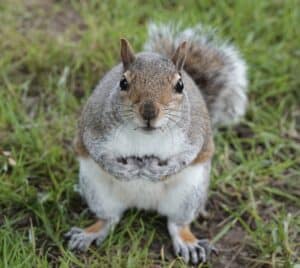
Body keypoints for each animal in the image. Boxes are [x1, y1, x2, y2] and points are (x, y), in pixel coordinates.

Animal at [65, 22, 246, 264]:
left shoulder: (194, 132)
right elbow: (95, 149)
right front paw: (119, 169)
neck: (146, 135)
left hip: (189, 194)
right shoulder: (93, 126)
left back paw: (188, 243)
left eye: (180, 85)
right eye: (123, 82)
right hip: (97, 190)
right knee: (109, 219)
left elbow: (189, 153)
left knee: (177, 224)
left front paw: (163, 170)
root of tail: (143, 203)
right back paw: (90, 233)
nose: (149, 112)